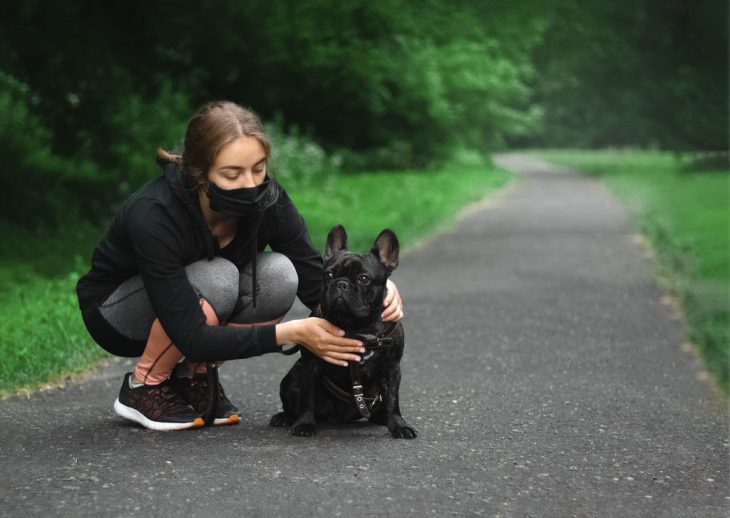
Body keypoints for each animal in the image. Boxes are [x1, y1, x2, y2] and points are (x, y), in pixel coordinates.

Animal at [268, 225, 416, 440]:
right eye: (328, 275)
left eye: (364, 279)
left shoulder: (391, 367)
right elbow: (307, 399)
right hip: (293, 375)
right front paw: (304, 424)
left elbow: (393, 400)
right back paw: (285, 417)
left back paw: (382, 418)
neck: (357, 326)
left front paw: (399, 425)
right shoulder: (309, 365)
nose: (341, 283)